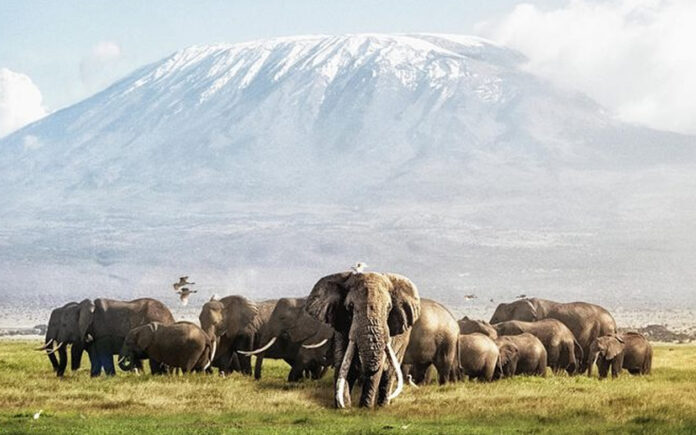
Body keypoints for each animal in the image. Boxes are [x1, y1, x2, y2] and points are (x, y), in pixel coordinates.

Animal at [304, 272, 418, 408]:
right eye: (350, 307)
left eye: (389, 308)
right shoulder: (341, 328)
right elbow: (343, 362)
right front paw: (344, 407)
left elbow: (378, 369)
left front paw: (365, 408)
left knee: (389, 374)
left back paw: (383, 406)